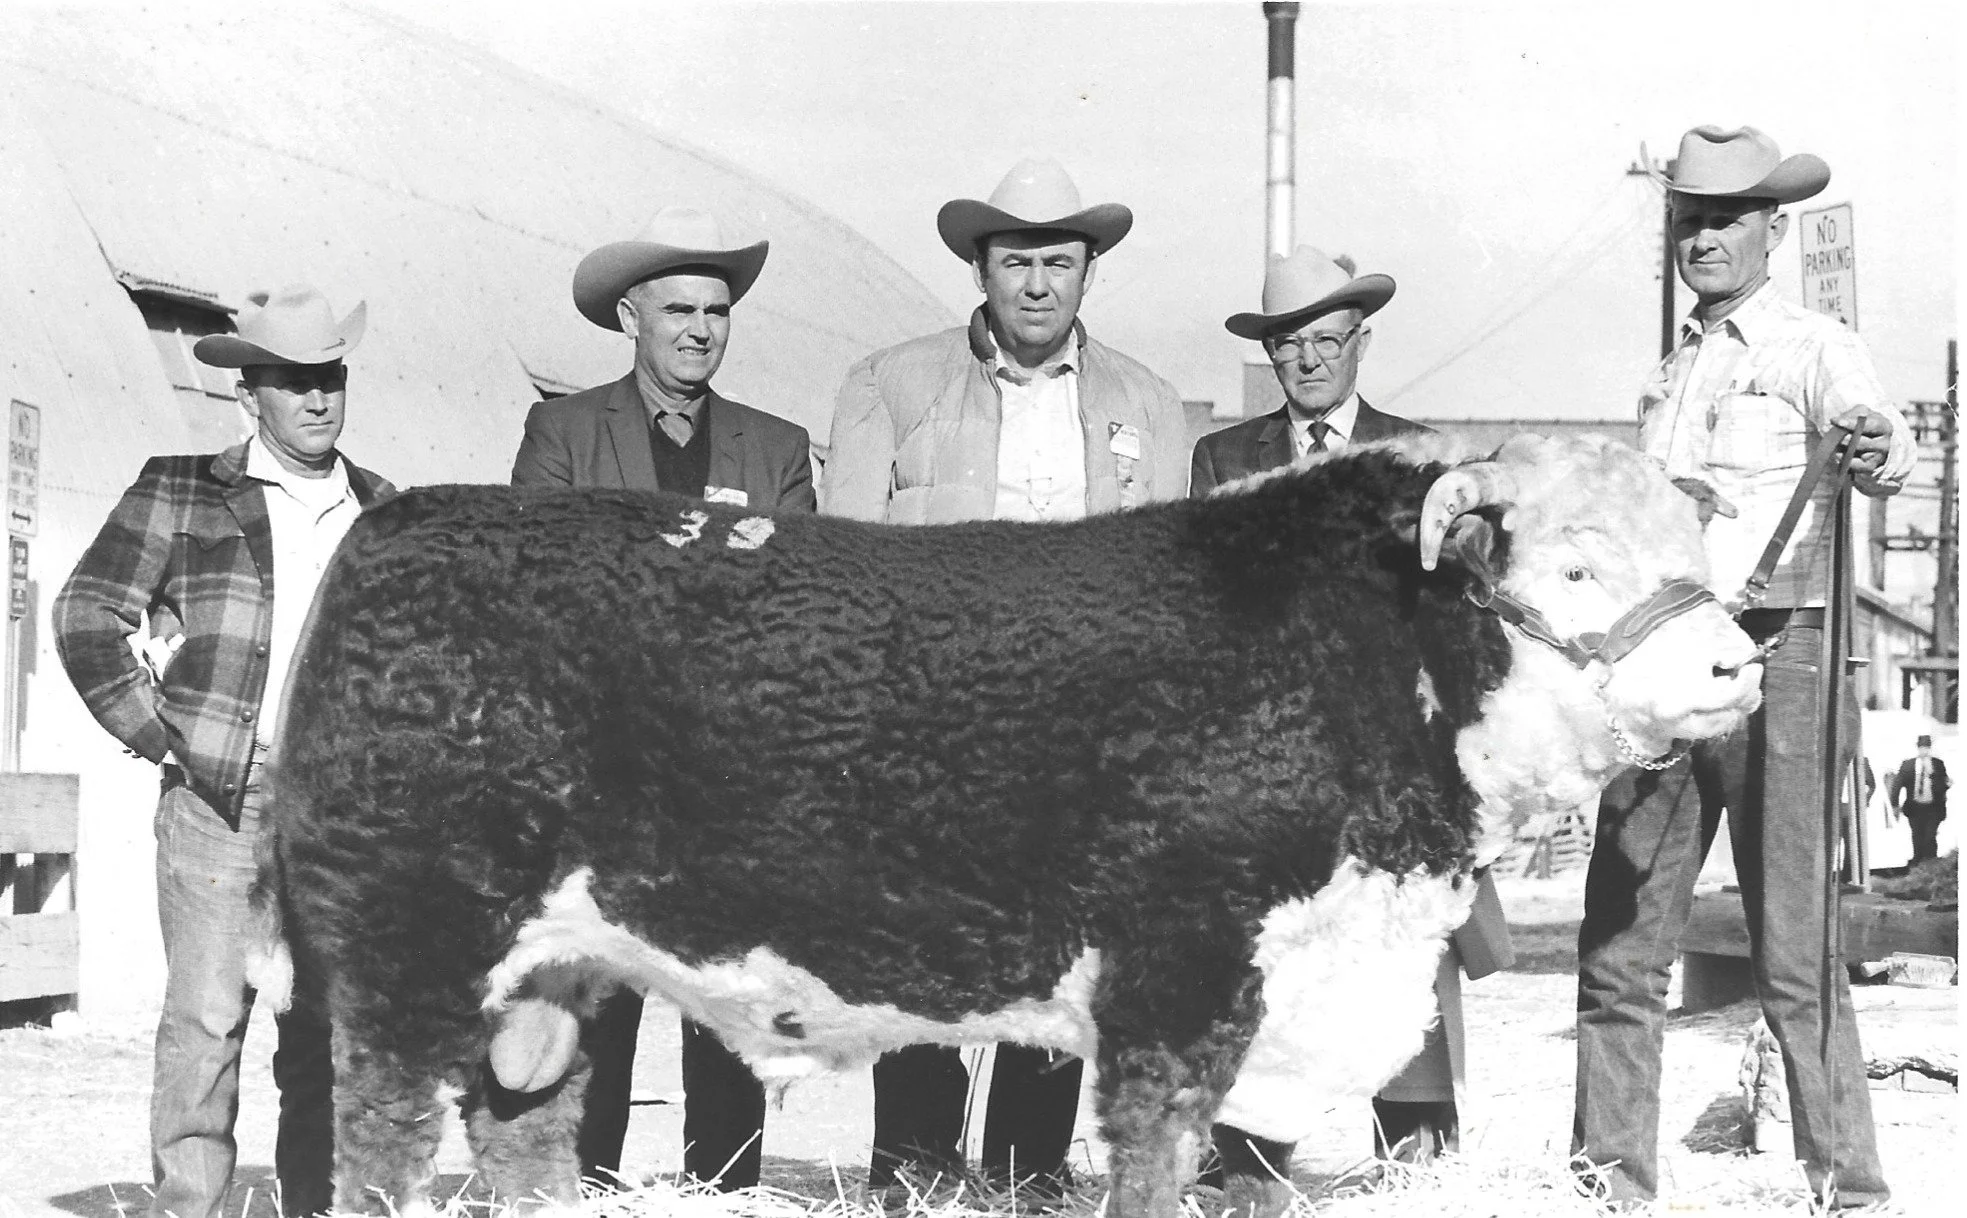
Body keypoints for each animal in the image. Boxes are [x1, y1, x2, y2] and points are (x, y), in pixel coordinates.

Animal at [251, 433, 1762, 1217]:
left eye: (1692, 554)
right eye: (1576, 565)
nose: (1735, 664)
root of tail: (398, 522)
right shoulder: (1180, 973)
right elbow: (1155, 1151)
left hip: (552, 973)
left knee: (523, 1129)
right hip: (404, 944)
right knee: (379, 1128)